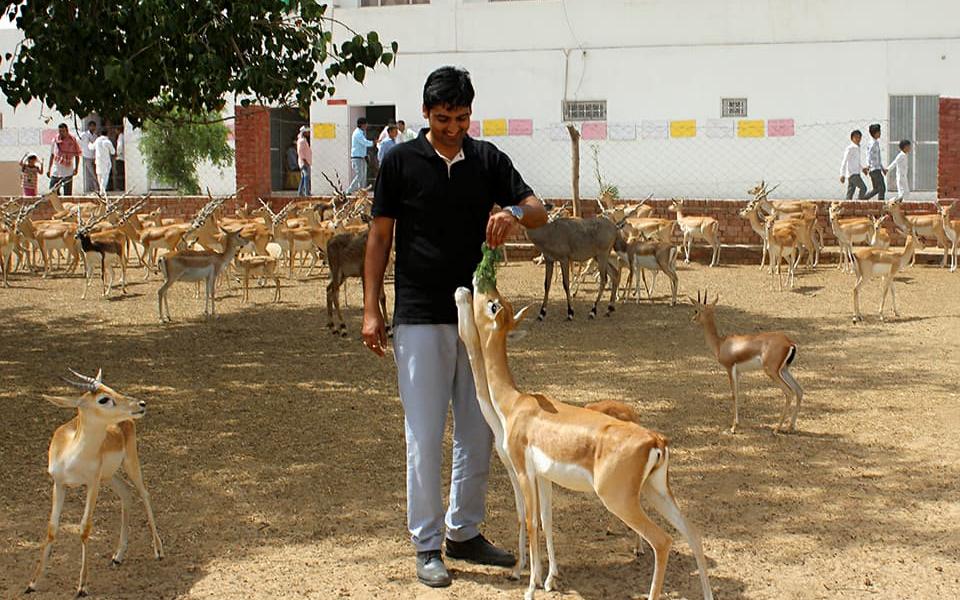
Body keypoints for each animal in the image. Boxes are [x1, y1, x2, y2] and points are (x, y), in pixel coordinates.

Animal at [24, 368, 163, 596]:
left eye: (111, 389)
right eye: (103, 399)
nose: (141, 404)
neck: (71, 457)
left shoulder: (92, 484)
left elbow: (85, 528)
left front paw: (82, 586)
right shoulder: (59, 484)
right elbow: (52, 528)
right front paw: (32, 583)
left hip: (129, 462)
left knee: (144, 494)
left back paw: (158, 550)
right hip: (109, 475)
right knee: (126, 493)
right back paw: (118, 556)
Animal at [452, 276, 712, 600]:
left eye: (493, 304)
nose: (474, 282)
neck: (514, 404)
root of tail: (656, 441)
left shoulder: (523, 472)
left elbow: (531, 522)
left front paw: (531, 587)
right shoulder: (544, 477)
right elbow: (545, 520)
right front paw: (548, 579)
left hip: (619, 500)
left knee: (663, 541)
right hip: (656, 491)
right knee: (693, 532)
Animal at [688, 290, 804, 434]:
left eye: (696, 310)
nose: (692, 319)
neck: (720, 344)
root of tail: (789, 342)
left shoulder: (729, 368)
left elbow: (733, 394)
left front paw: (733, 427)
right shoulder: (738, 372)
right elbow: (738, 393)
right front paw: (736, 424)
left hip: (772, 371)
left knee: (789, 392)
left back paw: (776, 429)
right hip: (784, 370)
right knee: (799, 390)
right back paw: (790, 427)